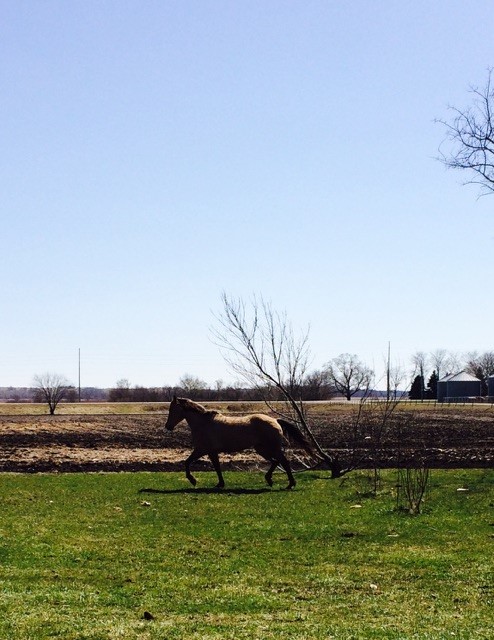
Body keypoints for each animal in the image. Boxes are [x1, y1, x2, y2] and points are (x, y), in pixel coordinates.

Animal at [164, 396, 310, 490]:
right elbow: (216, 467)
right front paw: (220, 484)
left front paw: (193, 480)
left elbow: (187, 462)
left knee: (284, 462)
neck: (203, 423)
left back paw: (290, 484)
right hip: (261, 449)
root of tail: (275, 420)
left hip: (272, 449)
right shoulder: (211, 452)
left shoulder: (202, 449)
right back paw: (270, 479)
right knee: (276, 462)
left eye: (173, 409)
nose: (168, 426)